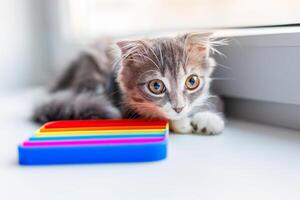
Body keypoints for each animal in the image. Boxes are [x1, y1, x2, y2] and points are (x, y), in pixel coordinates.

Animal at [33, 32, 225, 135]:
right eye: (156, 86)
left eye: (192, 81)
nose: (179, 108)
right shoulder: (125, 106)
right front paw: (182, 123)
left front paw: (208, 118)